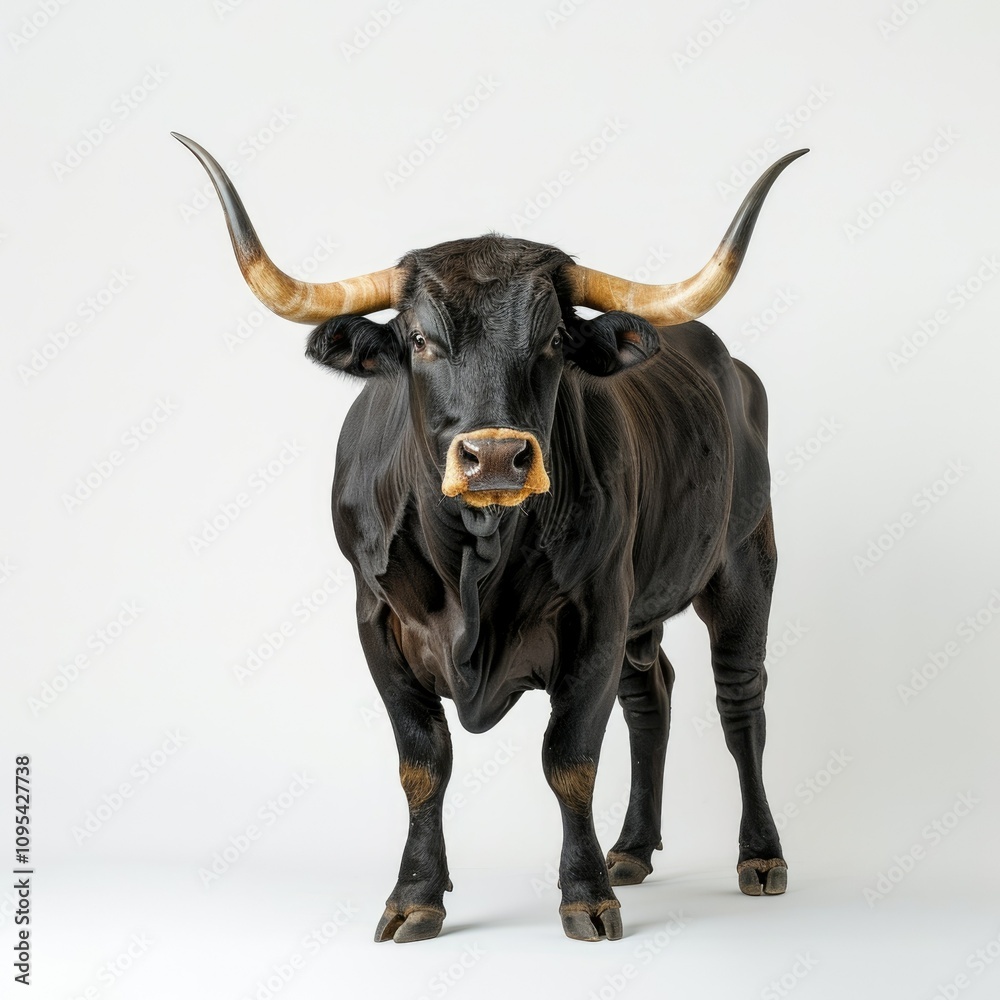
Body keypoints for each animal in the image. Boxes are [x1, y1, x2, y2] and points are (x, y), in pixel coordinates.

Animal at [174, 133, 806, 943]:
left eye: (554, 339)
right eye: (419, 339)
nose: (498, 457)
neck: (475, 562)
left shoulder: (597, 617)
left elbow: (569, 757)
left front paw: (585, 894)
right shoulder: (377, 621)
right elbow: (423, 762)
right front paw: (416, 894)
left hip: (743, 565)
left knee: (740, 702)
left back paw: (759, 856)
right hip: (646, 611)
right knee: (650, 698)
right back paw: (632, 849)